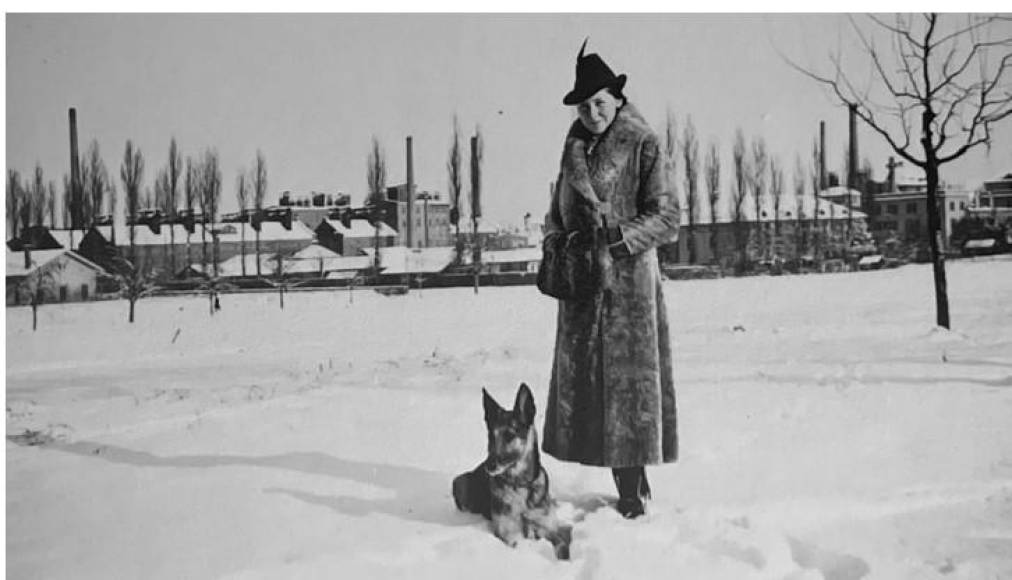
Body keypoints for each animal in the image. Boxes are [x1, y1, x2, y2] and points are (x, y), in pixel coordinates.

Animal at [455, 382, 574, 558]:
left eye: (510, 435)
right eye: (491, 436)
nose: (489, 466)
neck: (520, 484)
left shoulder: (548, 528)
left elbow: (562, 545)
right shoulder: (507, 534)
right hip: (459, 481)